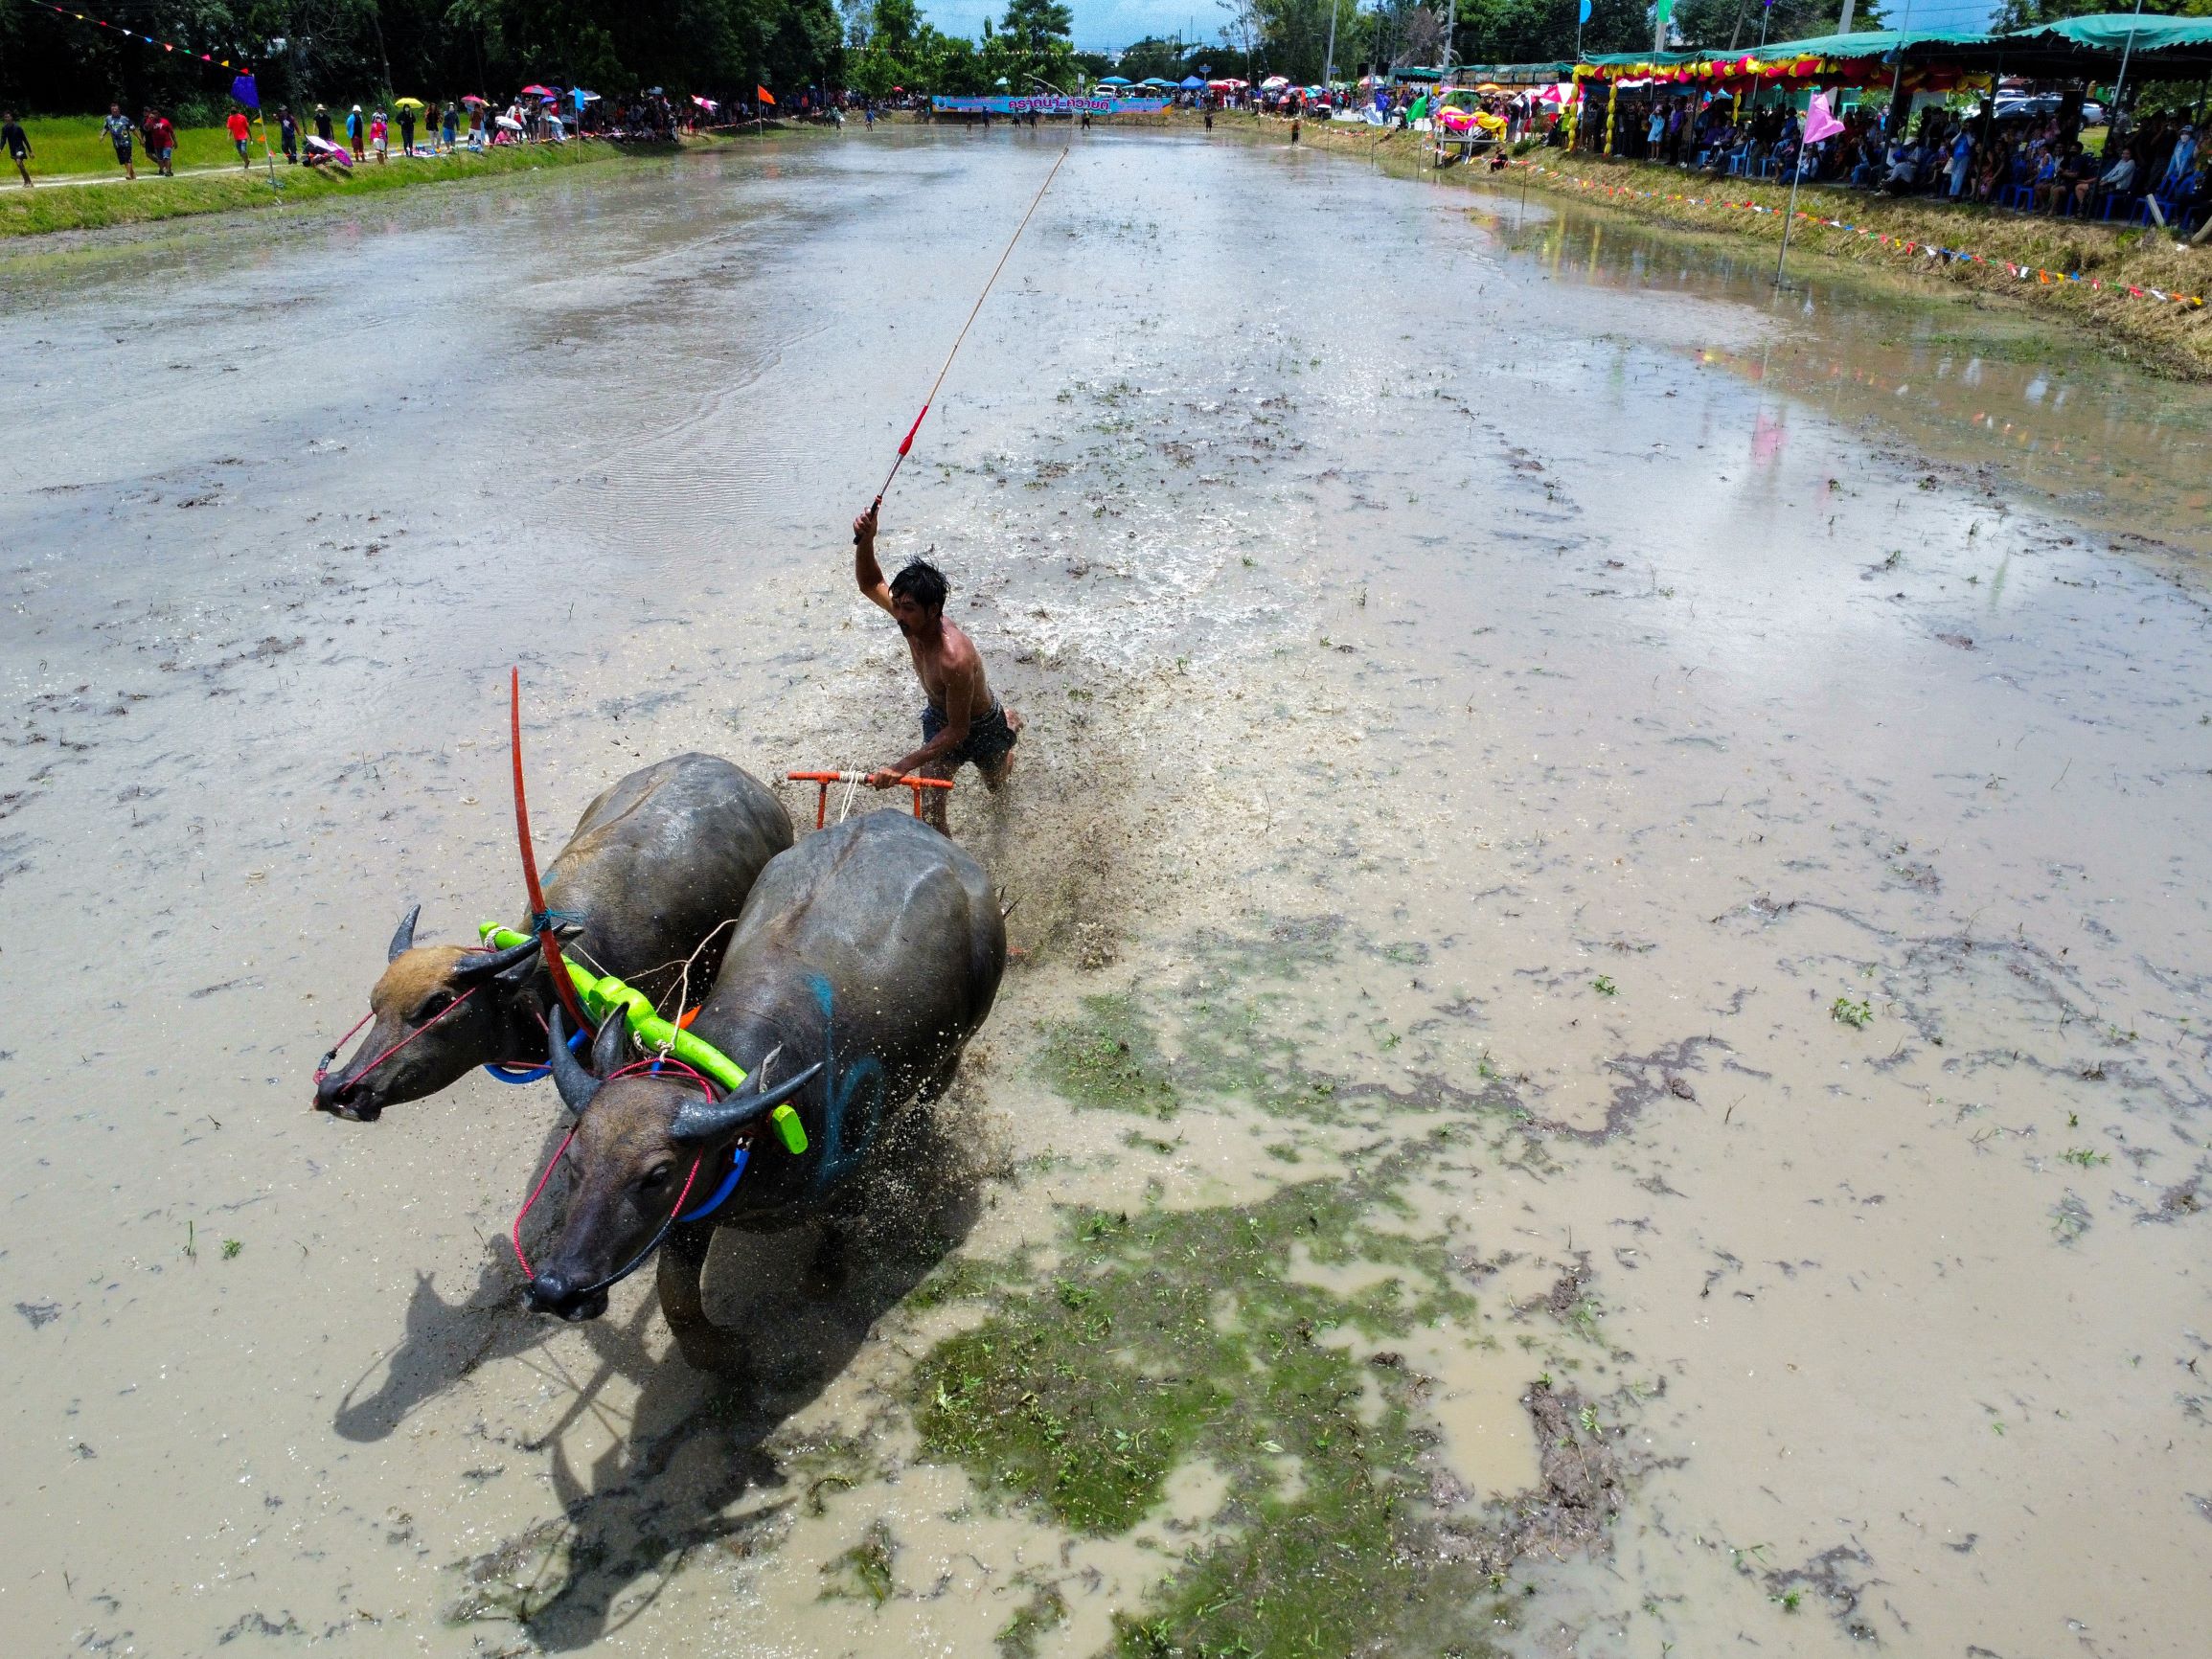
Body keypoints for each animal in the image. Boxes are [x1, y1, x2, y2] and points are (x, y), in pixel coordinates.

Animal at [517, 809, 1004, 1380]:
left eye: (657, 1175)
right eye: (573, 1159)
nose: (556, 1288)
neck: (758, 1130)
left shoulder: (845, 1186)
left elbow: (835, 1241)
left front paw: (821, 1284)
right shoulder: (694, 1209)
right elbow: (675, 1296)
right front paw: (724, 1355)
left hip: (958, 1045)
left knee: (931, 1096)